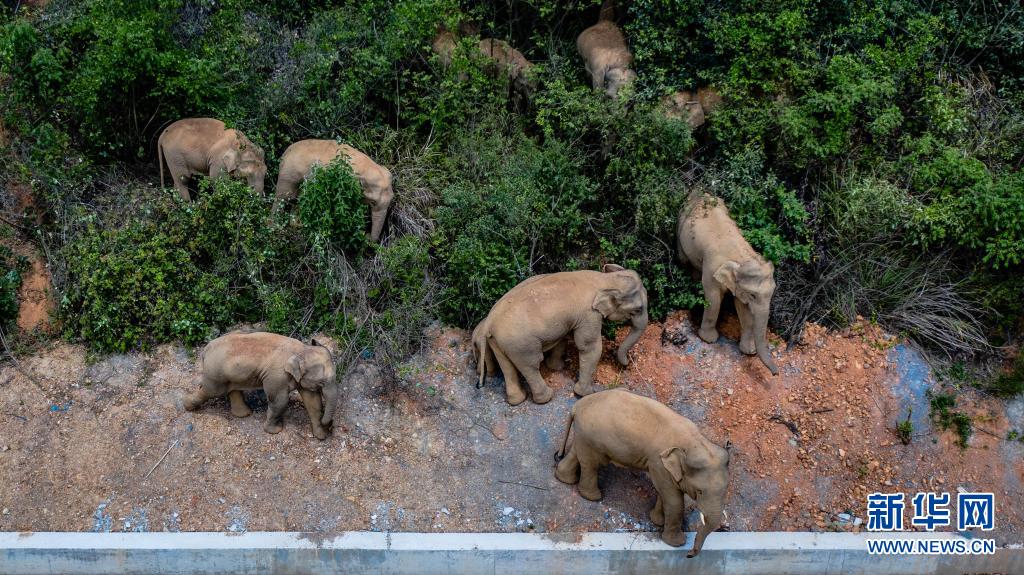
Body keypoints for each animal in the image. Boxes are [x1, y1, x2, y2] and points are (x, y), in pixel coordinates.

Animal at [184, 329, 339, 439]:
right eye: (322, 382)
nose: (331, 425)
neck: (301, 349)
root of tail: (205, 349)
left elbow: (313, 402)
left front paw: (321, 436)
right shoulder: (276, 376)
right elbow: (280, 401)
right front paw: (275, 431)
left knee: (232, 389)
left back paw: (244, 414)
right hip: (216, 373)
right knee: (210, 390)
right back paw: (187, 406)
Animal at [471, 263, 647, 403]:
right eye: (638, 309)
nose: (627, 364)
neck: (605, 279)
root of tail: (489, 323)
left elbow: (563, 338)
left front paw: (557, 367)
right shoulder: (589, 314)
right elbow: (589, 347)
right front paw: (586, 393)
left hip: (498, 342)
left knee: (507, 367)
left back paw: (517, 401)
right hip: (520, 344)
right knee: (531, 365)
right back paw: (546, 398)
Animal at [557, 386, 733, 556]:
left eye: (725, 489)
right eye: (700, 491)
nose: (689, 554)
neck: (695, 442)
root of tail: (577, 405)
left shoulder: (663, 467)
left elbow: (664, 493)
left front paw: (657, 521)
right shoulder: (658, 463)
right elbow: (674, 500)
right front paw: (676, 543)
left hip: (584, 435)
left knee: (578, 453)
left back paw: (564, 478)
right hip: (593, 436)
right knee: (592, 463)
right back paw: (593, 497)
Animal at [675, 190, 778, 374]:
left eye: (772, 293)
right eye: (753, 295)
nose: (775, 373)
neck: (741, 257)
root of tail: (698, 190)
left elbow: (742, 308)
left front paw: (748, 351)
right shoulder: (712, 268)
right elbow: (713, 298)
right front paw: (708, 340)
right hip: (680, 226)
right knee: (683, 259)